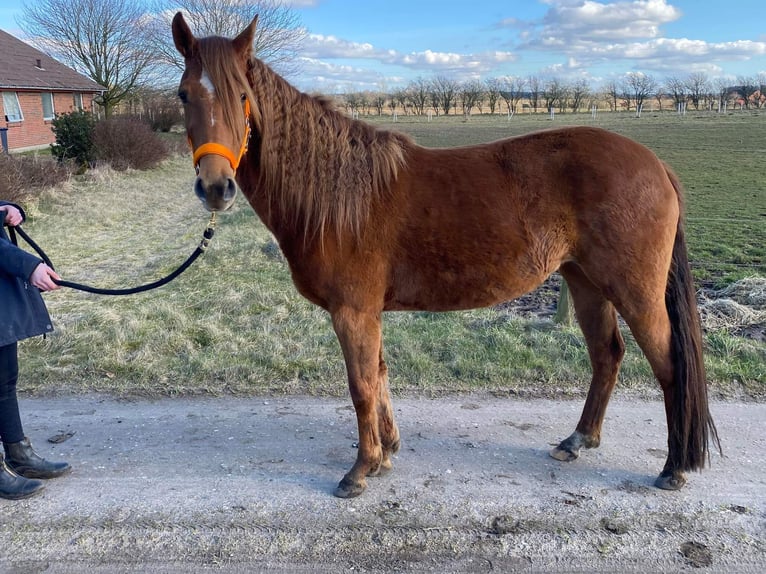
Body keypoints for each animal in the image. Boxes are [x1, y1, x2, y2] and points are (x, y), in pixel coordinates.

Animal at [171, 13, 720, 498]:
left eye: (243, 97)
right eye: (183, 95)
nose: (216, 187)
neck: (339, 192)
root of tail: (655, 164)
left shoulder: (352, 312)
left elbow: (361, 386)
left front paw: (360, 470)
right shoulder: (368, 314)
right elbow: (380, 375)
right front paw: (386, 453)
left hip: (635, 292)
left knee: (670, 366)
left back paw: (673, 468)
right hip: (585, 283)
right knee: (607, 355)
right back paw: (577, 441)